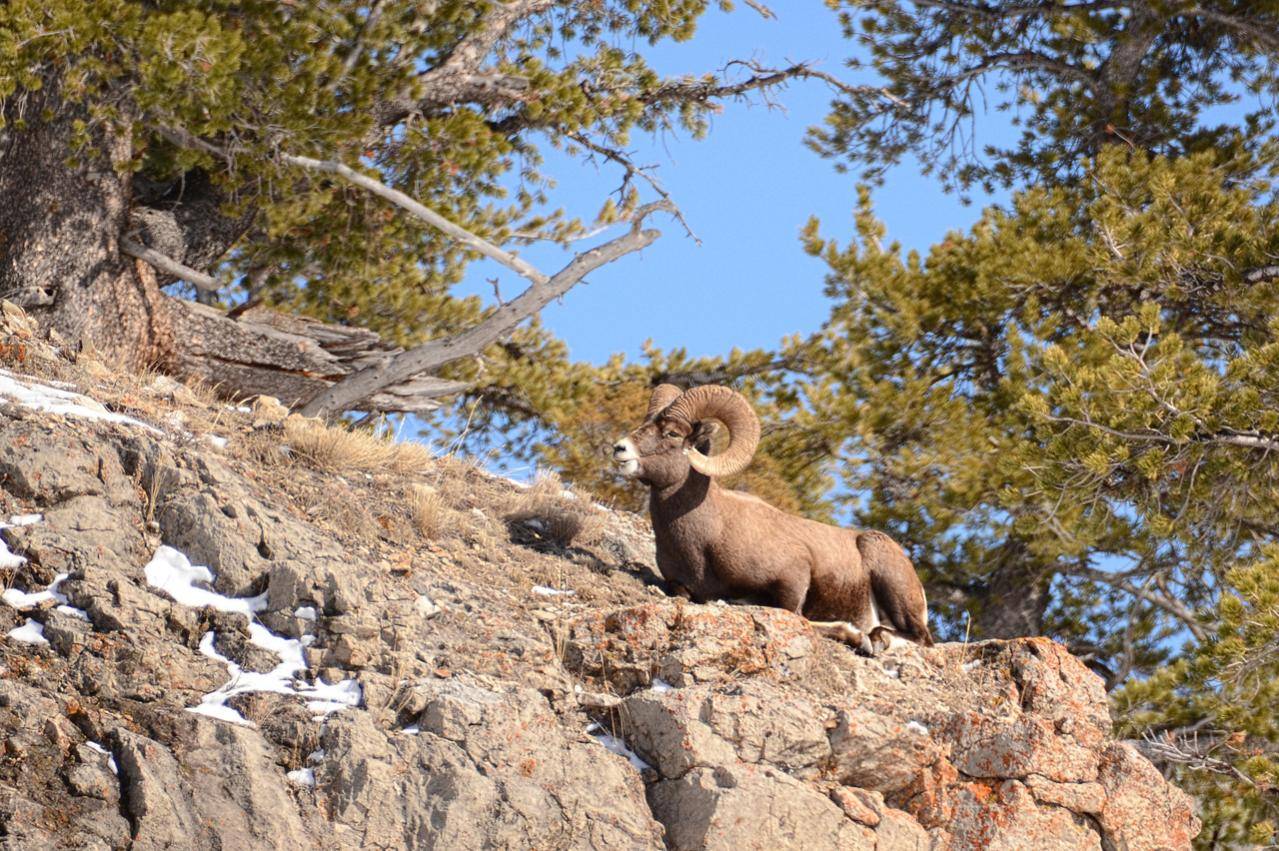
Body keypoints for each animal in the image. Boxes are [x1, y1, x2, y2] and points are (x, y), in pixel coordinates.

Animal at [608, 381, 931, 652]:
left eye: (672, 433)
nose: (619, 448)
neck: (707, 537)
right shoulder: (680, 586)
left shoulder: (793, 577)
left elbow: (796, 616)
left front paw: (856, 635)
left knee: (919, 638)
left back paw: (875, 638)